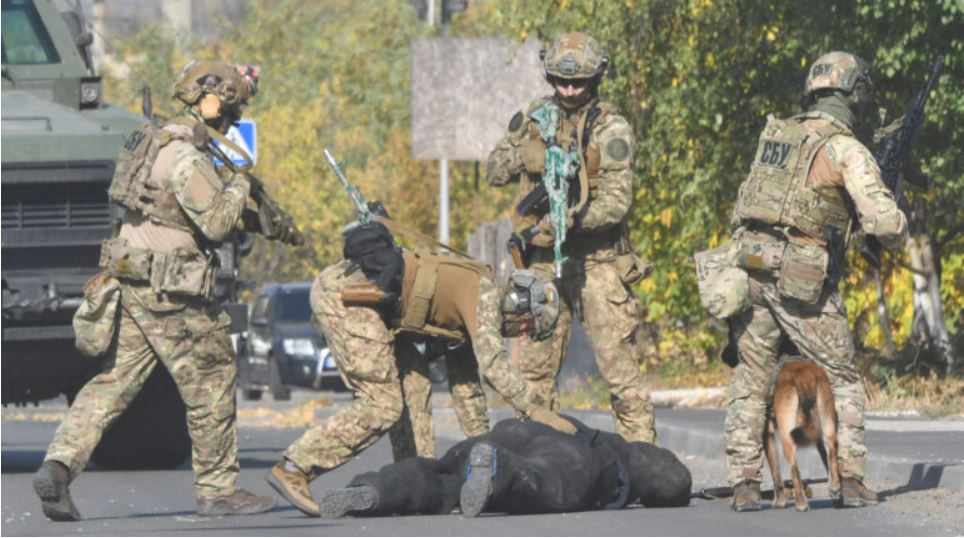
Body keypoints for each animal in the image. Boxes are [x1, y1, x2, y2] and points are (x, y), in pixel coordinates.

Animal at [764, 358, 840, 508]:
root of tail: (805, 375)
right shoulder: (817, 437)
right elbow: (825, 459)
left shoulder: (767, 433)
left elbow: (775, 472)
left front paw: (779, 501)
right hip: (827, 423)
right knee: (832, 449)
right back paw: (835, 487)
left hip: (787, 435)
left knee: (794, 468)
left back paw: (801, 503)